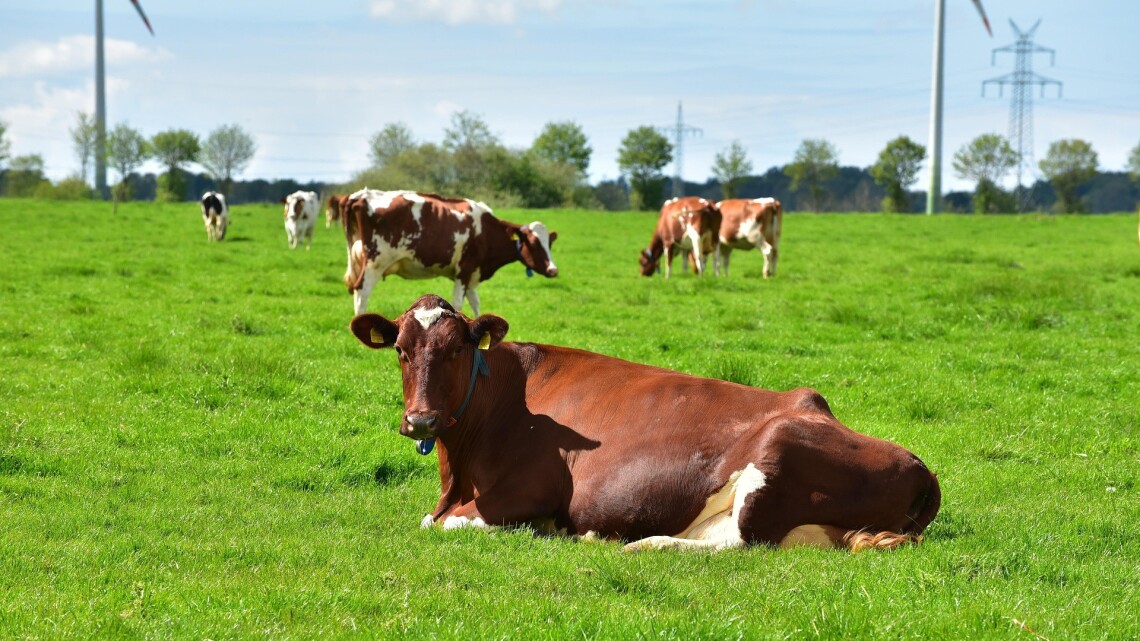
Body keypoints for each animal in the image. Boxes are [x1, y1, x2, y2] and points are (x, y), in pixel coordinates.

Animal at [333, 189, 558, 316]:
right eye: (534, 243)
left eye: (549, 243)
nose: (553, 270)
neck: (485, 231)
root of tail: (360, 195)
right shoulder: (464, 270)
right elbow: (458, 303)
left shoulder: (471, 273)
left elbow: (475, 303)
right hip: (375, 262)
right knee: (361, 291)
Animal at [349, 294, 942, 553]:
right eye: (401, 350)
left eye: (456, 349)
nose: (421, 419)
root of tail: (920, 465)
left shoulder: (530, 489)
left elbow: (442, 524)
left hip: (775, 453)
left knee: (742, 542)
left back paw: (644, 545)